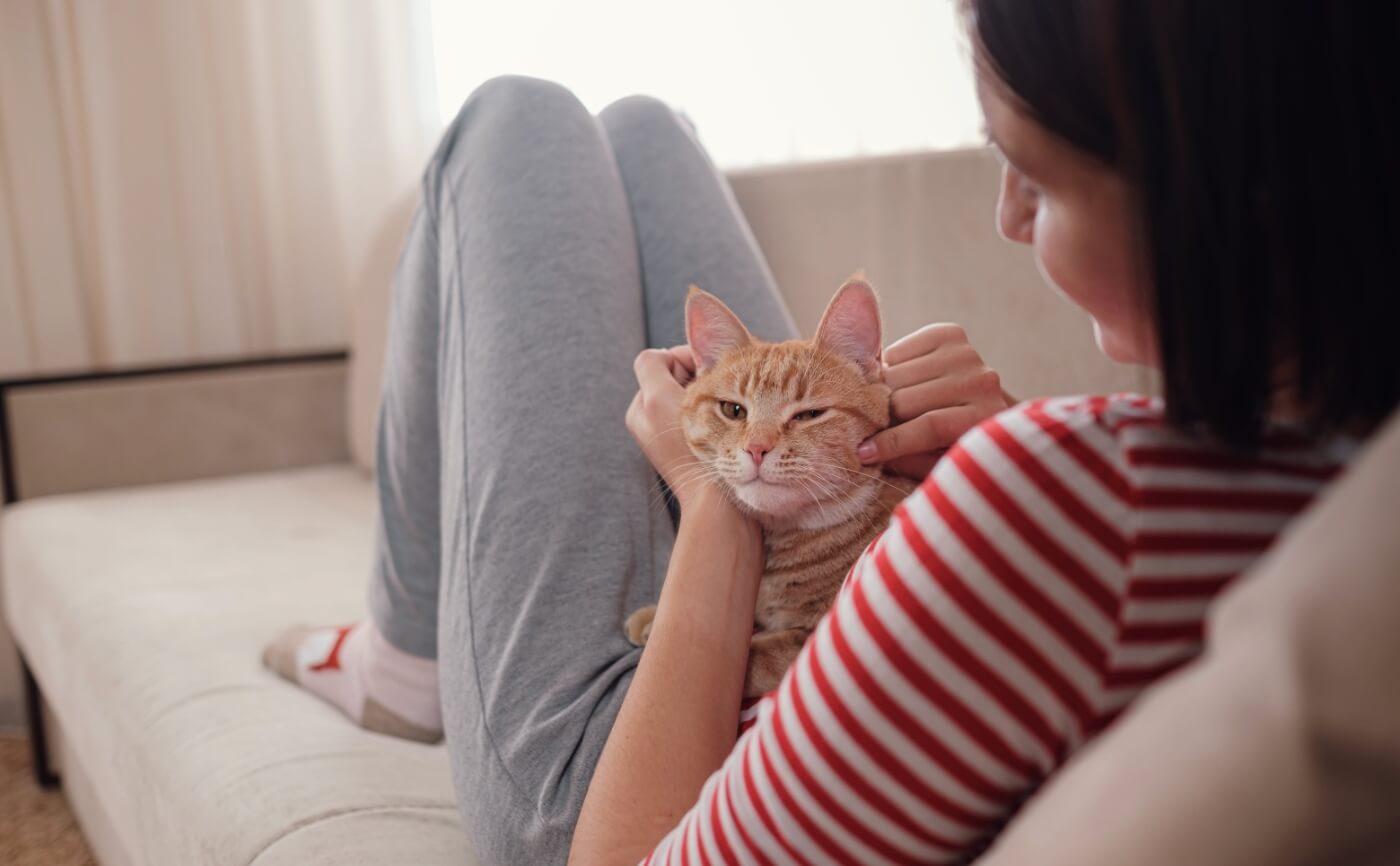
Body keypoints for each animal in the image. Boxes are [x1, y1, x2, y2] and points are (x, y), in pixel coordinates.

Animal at [627, 278, 918, 696]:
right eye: (733, 410)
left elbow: (756, 655)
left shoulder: (808, 644)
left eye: (809, 414)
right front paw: (652, 615)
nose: (757, 448)